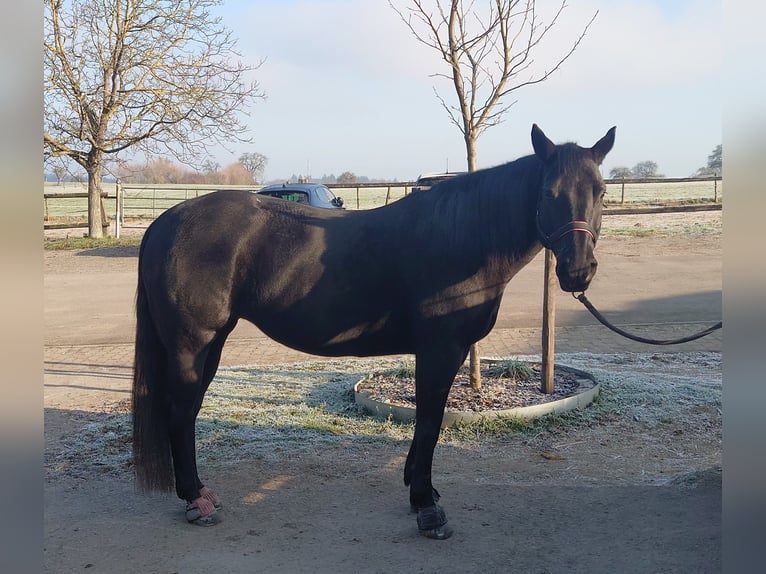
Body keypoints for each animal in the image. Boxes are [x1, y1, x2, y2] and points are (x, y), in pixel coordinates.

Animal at [132, 126, 616, 540]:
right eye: (549, 193)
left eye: (601, 192)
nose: (578, 271)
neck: (461, 236)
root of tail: (166, 222)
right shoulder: (439, 349)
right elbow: (430, 420)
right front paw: (427, 508)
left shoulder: (447, 351)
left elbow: (426, 419)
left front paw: (421, 490)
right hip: (194, 342)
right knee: (181, 411)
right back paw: (196, 501)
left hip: (209, 343)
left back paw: (199, 494)